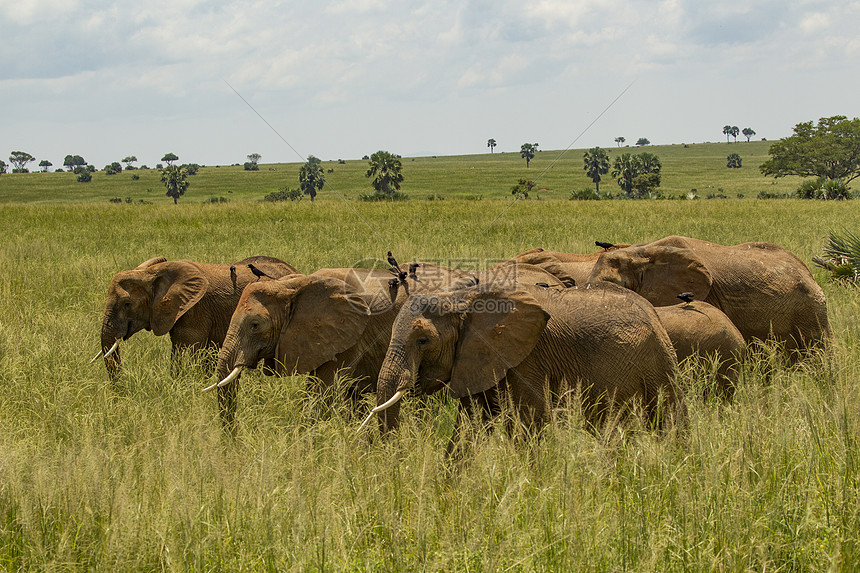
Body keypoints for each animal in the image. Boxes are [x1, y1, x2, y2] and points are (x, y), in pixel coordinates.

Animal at [366, 282, 680, 442]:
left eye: (423, 341)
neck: (462, 298)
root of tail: (655, 316)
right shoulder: (474, 359)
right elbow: (467, 426)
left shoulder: (528, 359)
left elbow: (529, 424)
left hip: (659, 364)